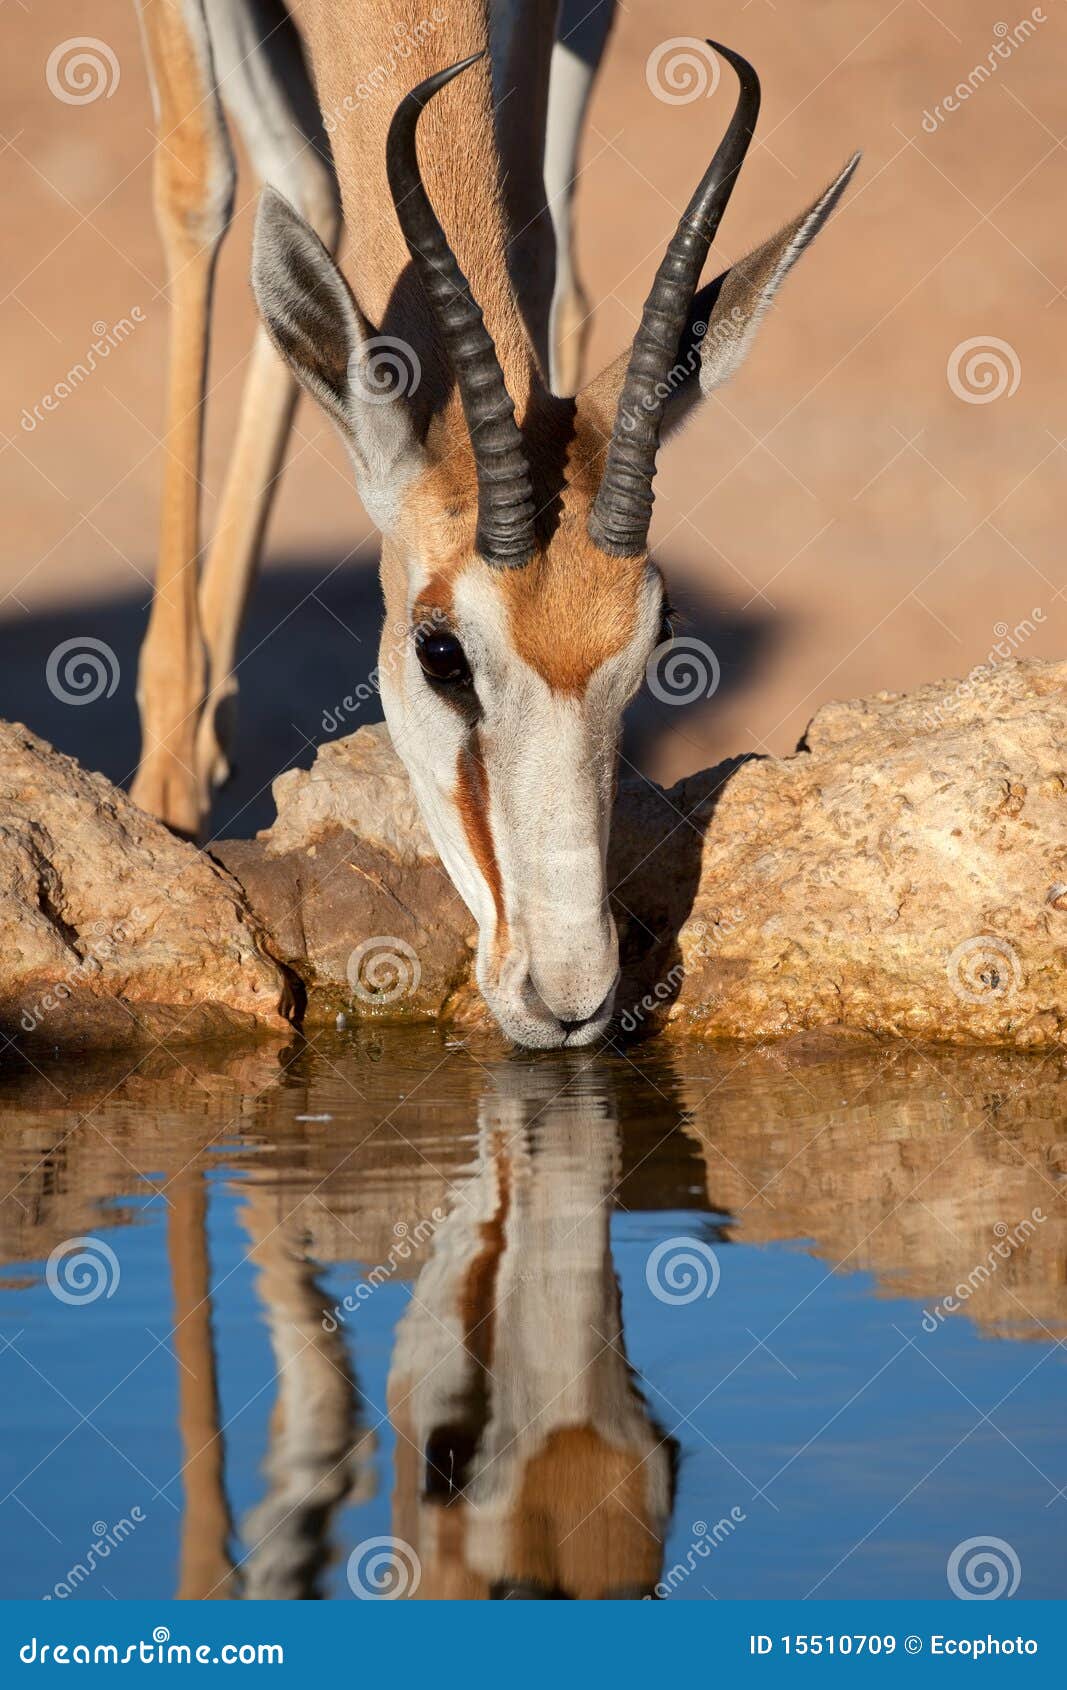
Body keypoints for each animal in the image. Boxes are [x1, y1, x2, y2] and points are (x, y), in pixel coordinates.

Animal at [131, 3, 859, 1041]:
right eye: (439, 653)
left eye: (658, 638)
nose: (567, 1002)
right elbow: (196, 191)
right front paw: (167, 801)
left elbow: (533, 233)